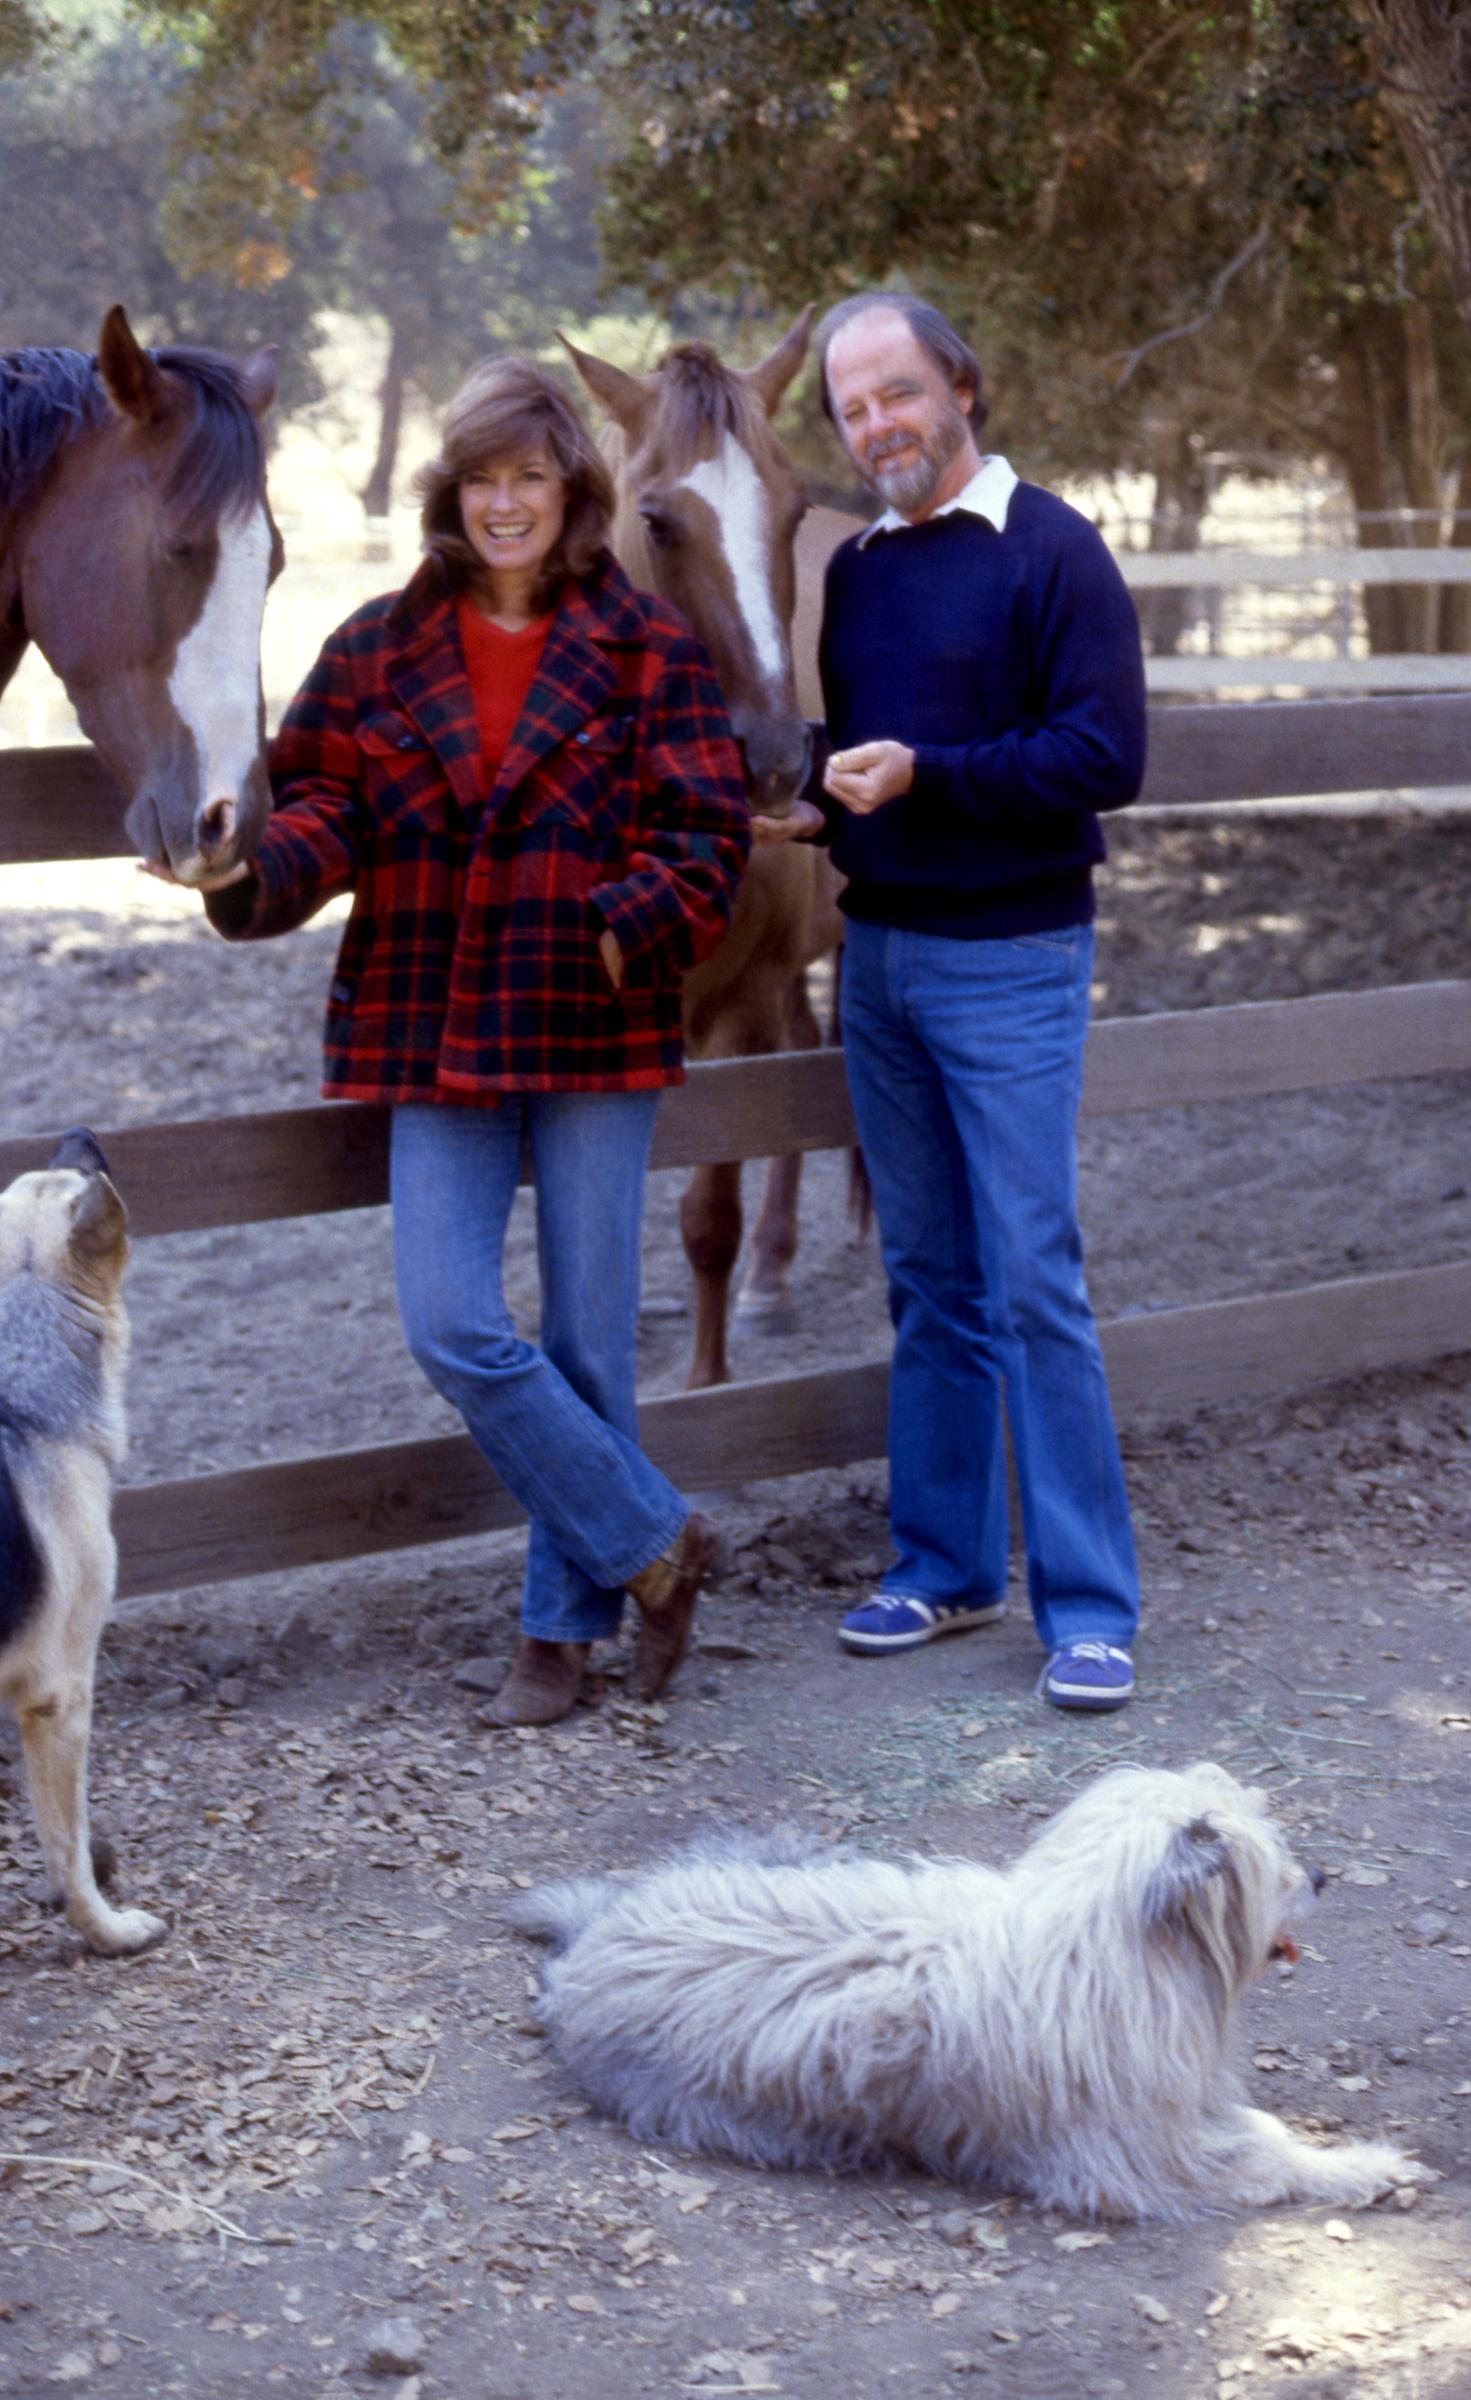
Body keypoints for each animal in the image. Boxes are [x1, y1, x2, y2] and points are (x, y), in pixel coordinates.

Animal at [503, 1756, 1420, 2217]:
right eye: (1271, 1866)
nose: (1323, 1877)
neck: (1112, 1944)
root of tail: (594, 1938)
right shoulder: (1136, 2162)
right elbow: (1265, 2159)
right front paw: (1360, 2167)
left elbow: (1258, 2127)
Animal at [563, 319, 849, 1392]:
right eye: (656, 519)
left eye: (791, 506)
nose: (769, 755)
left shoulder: (734, 1013)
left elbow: (706, 1217)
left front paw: (705, 1387)